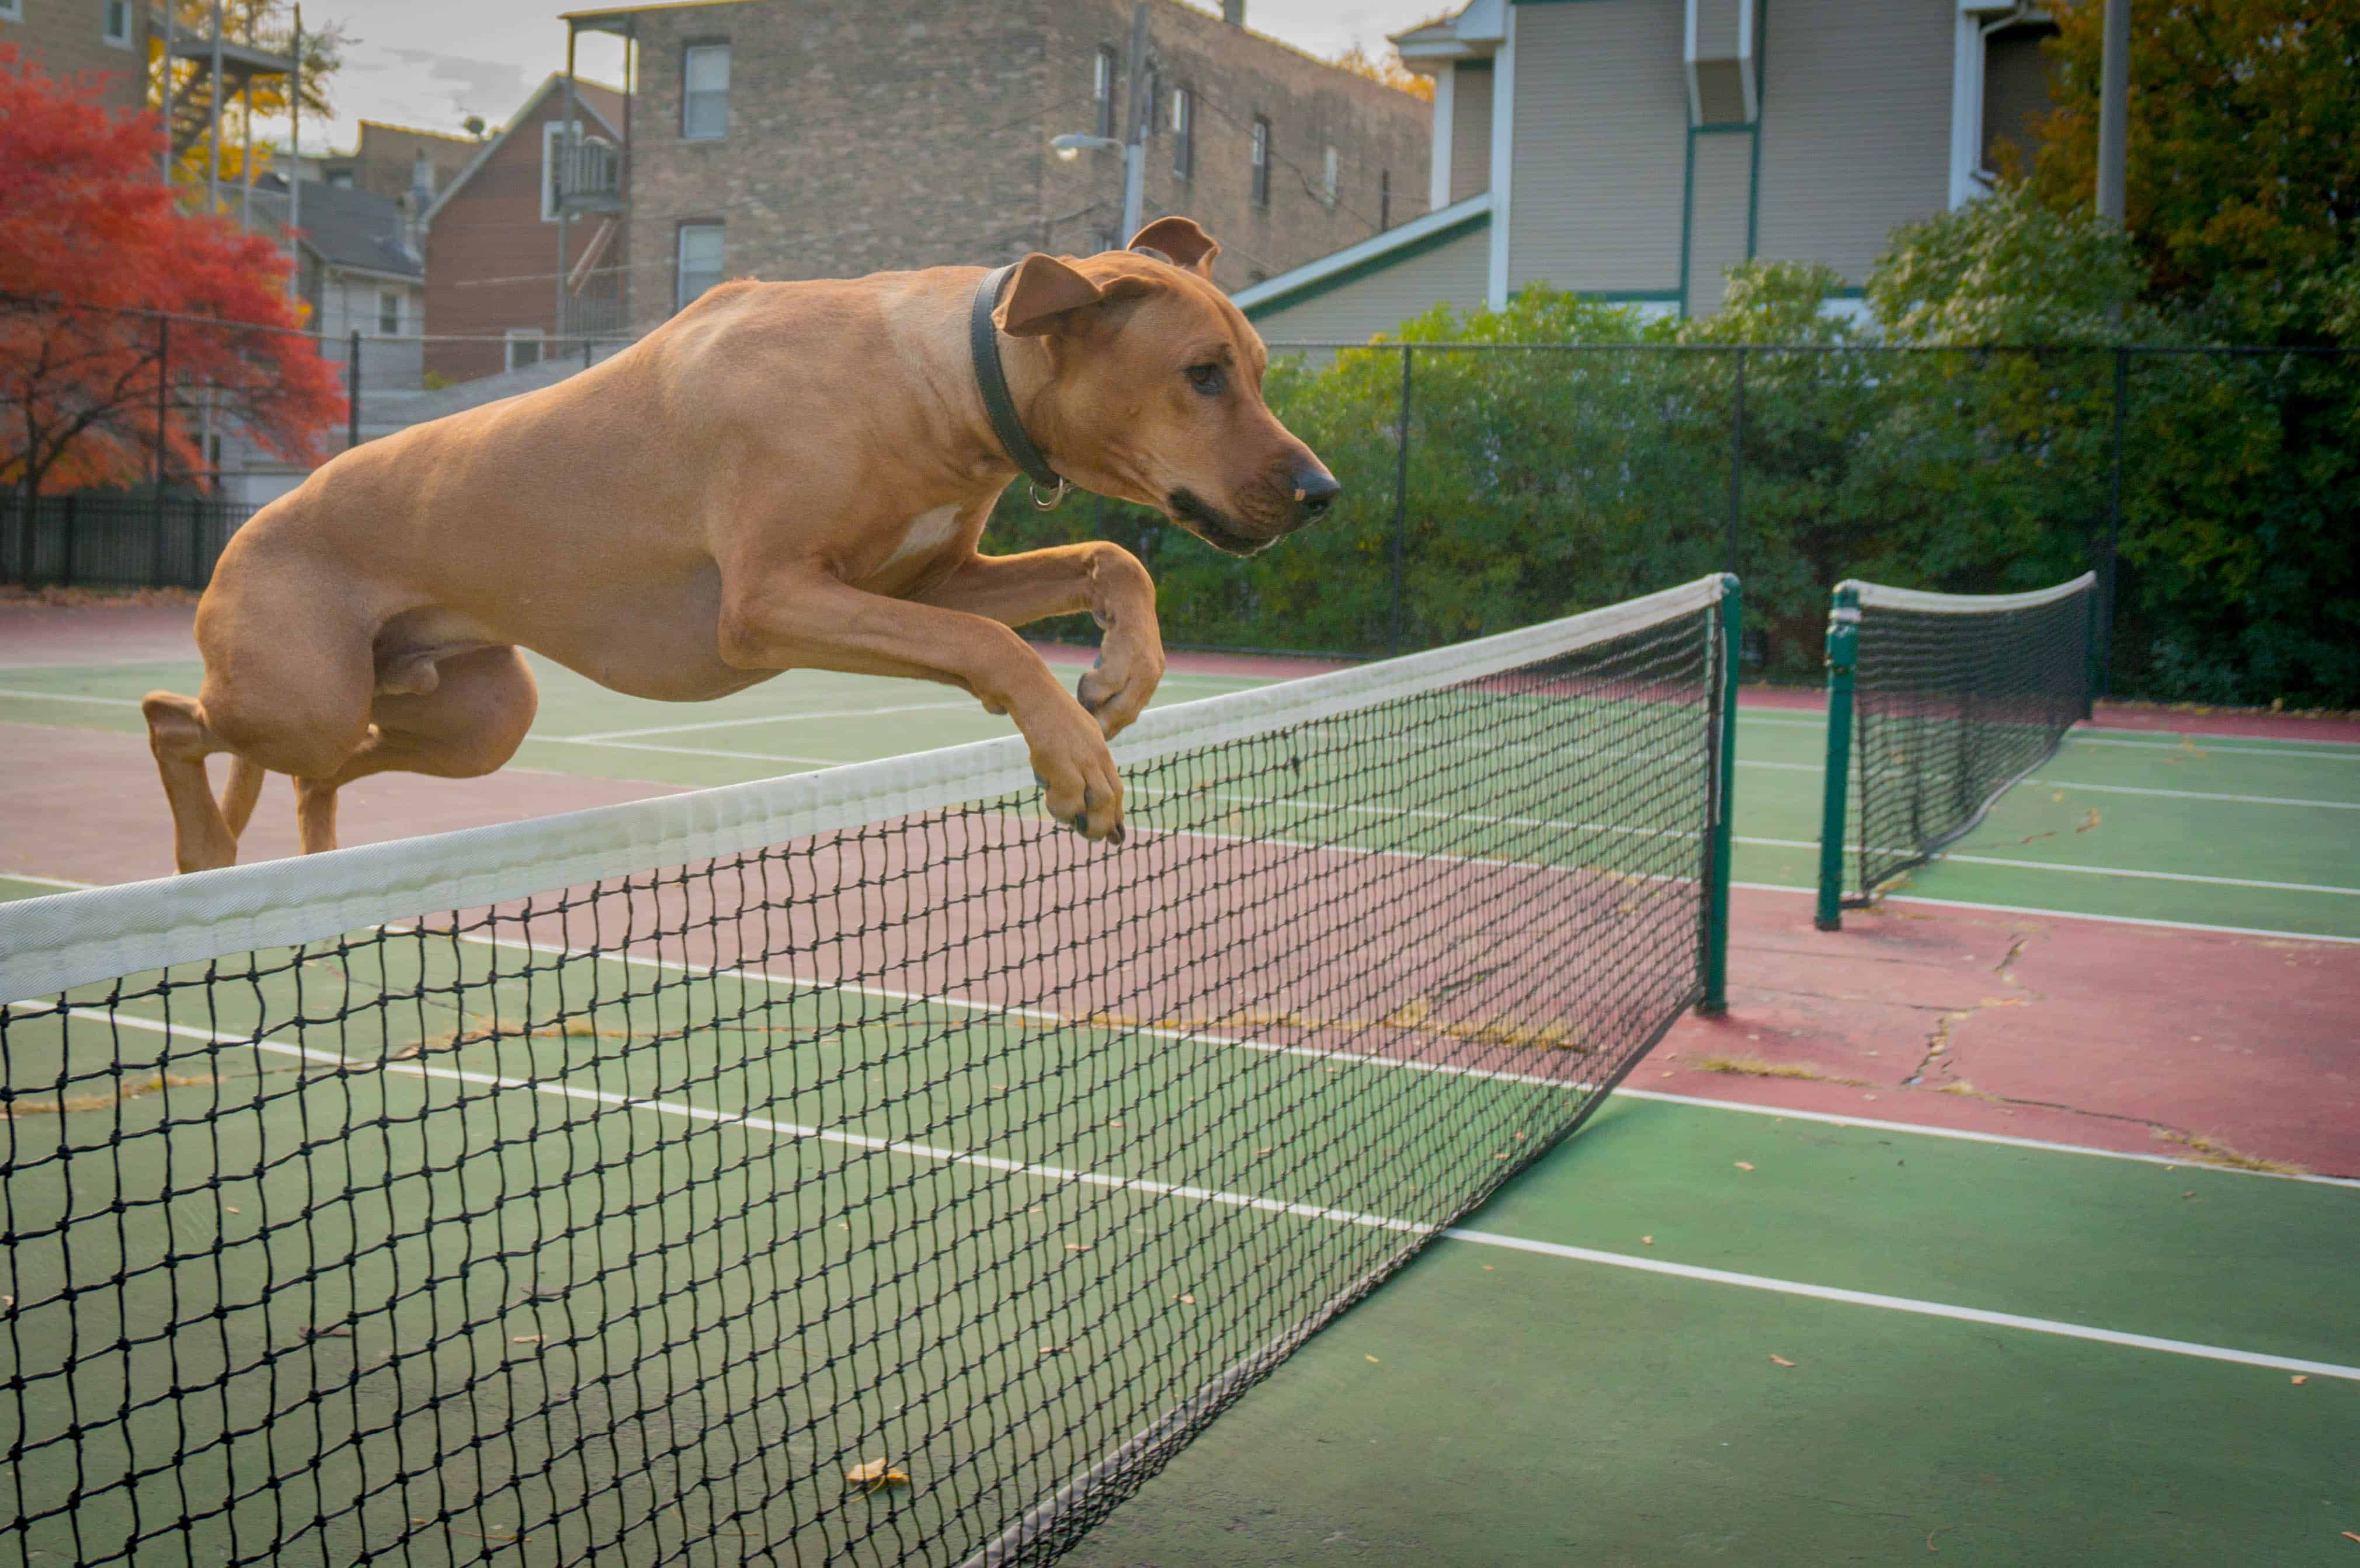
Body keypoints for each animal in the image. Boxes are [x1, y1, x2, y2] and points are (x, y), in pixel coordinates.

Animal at [138, 221, 1340, 874]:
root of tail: (255, 521)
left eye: (1257, 368)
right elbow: (991, 649)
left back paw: (294, 842)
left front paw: (1126, 672)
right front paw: (1073, 760)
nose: (1322, 493)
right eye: (1201, 375)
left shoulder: (936, 579)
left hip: (473, 713)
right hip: (299, 688)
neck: (941, 379)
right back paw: (200, 850)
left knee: (325, 763)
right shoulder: (771, 602)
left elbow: (1108, 562)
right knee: (174, 716)